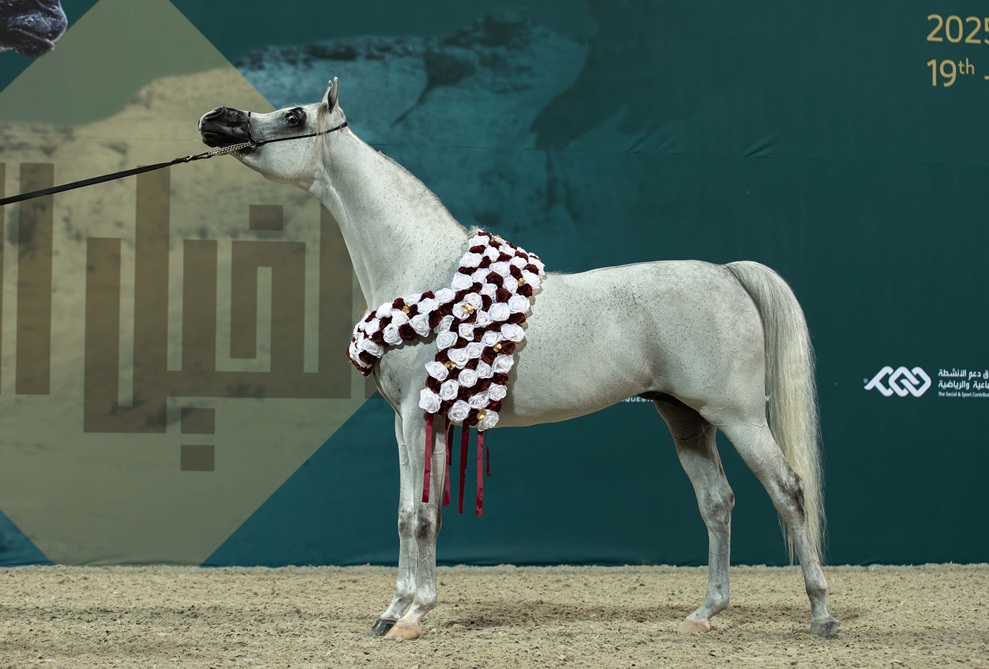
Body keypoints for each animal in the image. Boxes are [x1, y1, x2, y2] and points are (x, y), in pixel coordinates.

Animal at [198, 78, 839, 641]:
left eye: (293, 117)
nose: (215, 119)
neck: (424, 269)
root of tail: (728, 274)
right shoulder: (410, 421)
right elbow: (408, 513)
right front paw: (393, 611)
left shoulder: (419, 415)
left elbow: (421, 515)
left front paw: (413, 615)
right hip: (685, 418)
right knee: (717, 502)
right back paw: (705, 614)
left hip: (738, 416)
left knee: (789, 490)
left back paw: (821, 616)